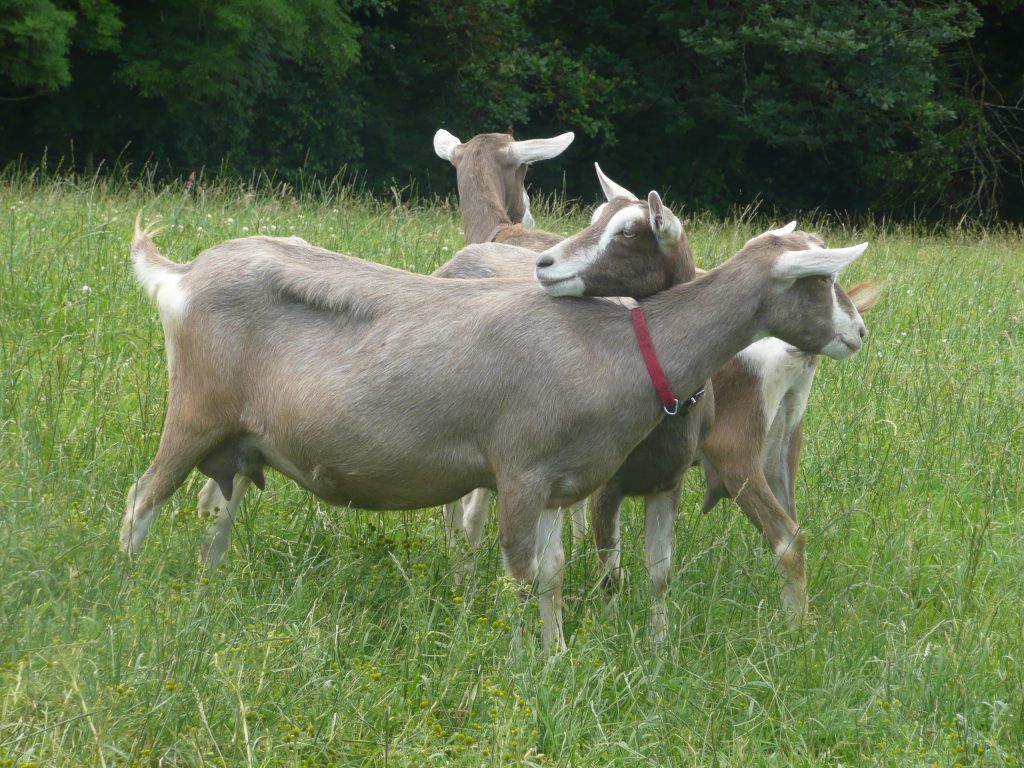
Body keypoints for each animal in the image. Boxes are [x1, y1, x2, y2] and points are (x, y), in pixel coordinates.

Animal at [123, 211, 868, 651]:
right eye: (820, 280)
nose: (858, 333)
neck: (626, 345)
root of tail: (182, 276)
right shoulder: (521, 472)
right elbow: (521, 575)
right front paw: (520, 659)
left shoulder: (560, 485)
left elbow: (555, 575)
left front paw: (559, 654)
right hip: (194, 412)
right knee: (142, 497)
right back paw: (122, 586)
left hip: (238, 440)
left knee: (220, 509)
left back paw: (209, 588)